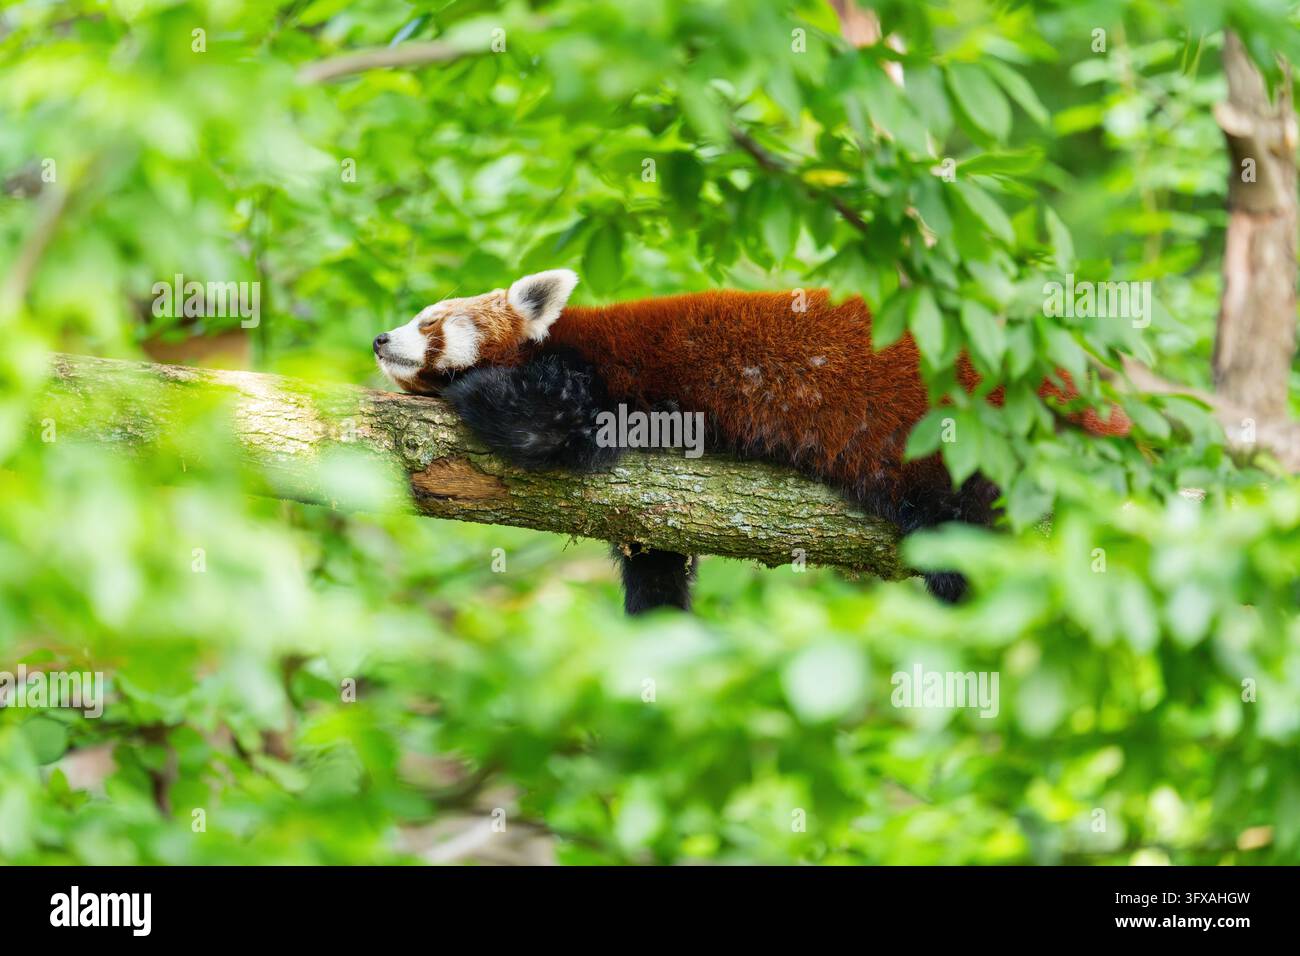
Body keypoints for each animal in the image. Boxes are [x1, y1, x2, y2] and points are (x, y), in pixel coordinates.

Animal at [373, 269, 1129, 613]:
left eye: (431, 322)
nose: (381, 339)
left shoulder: (595, 376)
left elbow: (548, 426)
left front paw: (467, 390)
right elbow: (654, 557)